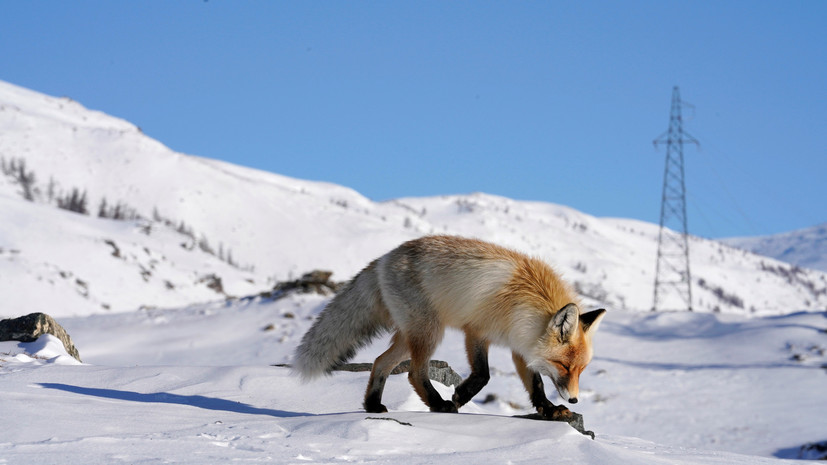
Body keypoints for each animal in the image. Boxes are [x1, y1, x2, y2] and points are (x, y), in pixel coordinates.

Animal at [294, 236, 604, 416]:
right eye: (564, 366)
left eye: (580, 370)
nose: (574, 400)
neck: (525, 304)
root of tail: (384, 257)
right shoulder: (476, 331)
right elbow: (483, 375)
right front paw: (459, 397)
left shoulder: (520, 345)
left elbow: (536, 384)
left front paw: (549, 410)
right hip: (429, 331)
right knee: (415, 373)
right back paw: (438, 404)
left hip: (411, 335)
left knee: (380, 362)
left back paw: (372, 405)